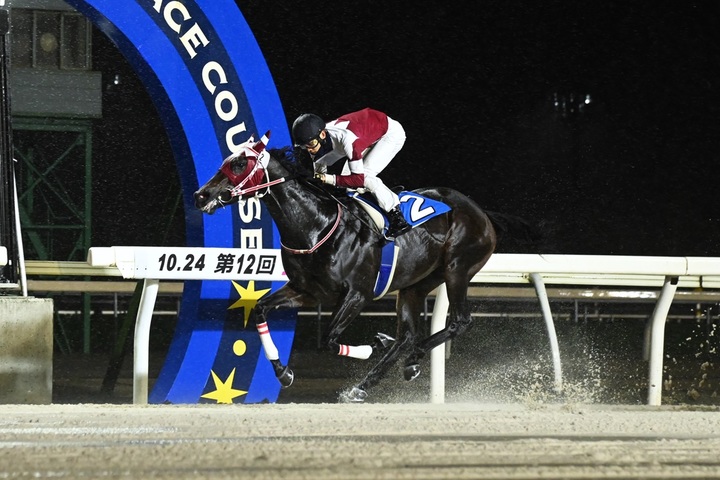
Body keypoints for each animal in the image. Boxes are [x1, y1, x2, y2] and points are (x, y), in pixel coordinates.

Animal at [193, 132, 536, 402]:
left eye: (240, 164)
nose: (201, 195)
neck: (316, 225)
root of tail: (481, 213)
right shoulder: (306, 291)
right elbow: (261, 310)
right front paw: (283, 372)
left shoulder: (357, 294)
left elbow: (330, 340)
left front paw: (367, 348)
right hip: (415, 284)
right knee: (408, 335)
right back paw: (370, 379)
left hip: (457, 269)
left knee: (458, 322)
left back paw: (409, 359)